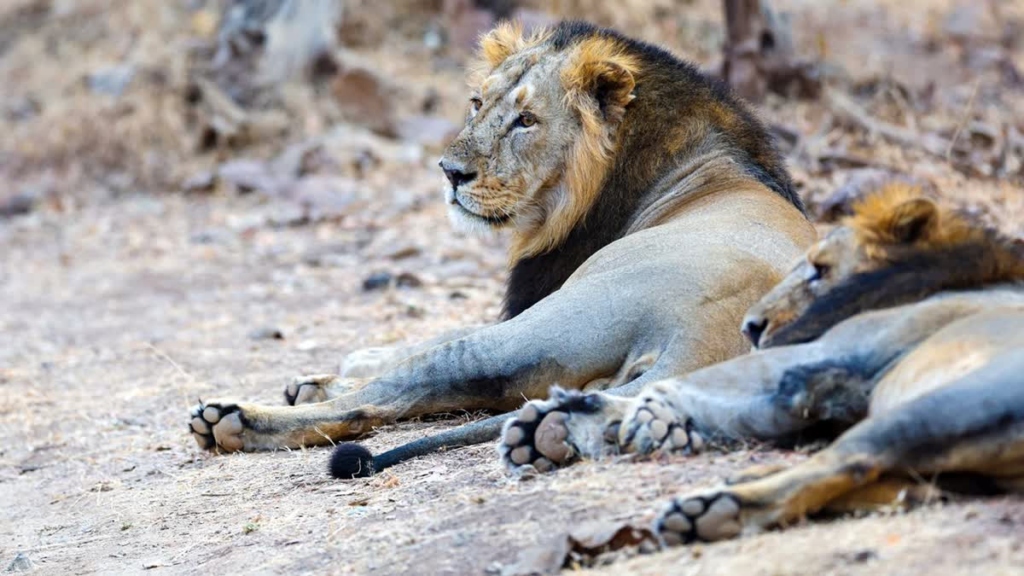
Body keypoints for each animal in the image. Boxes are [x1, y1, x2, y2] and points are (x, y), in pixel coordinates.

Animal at [187, 21, 814, 461]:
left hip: (539, 329)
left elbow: (425, 339)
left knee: (387, 395)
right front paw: (313, 377)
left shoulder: (530, 298)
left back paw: (232, 420)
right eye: (477, 103)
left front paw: (331, 371)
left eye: (526, 121)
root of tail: (703, 337)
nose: (449, 172)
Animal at [498, 184, 1024, 544]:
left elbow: (699, 383)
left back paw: (711, 510)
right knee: (881, 484)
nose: (750, 327)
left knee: (849, 463)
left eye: (819, 269)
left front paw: (569, 421)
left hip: (935, 409)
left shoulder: (824, 353)